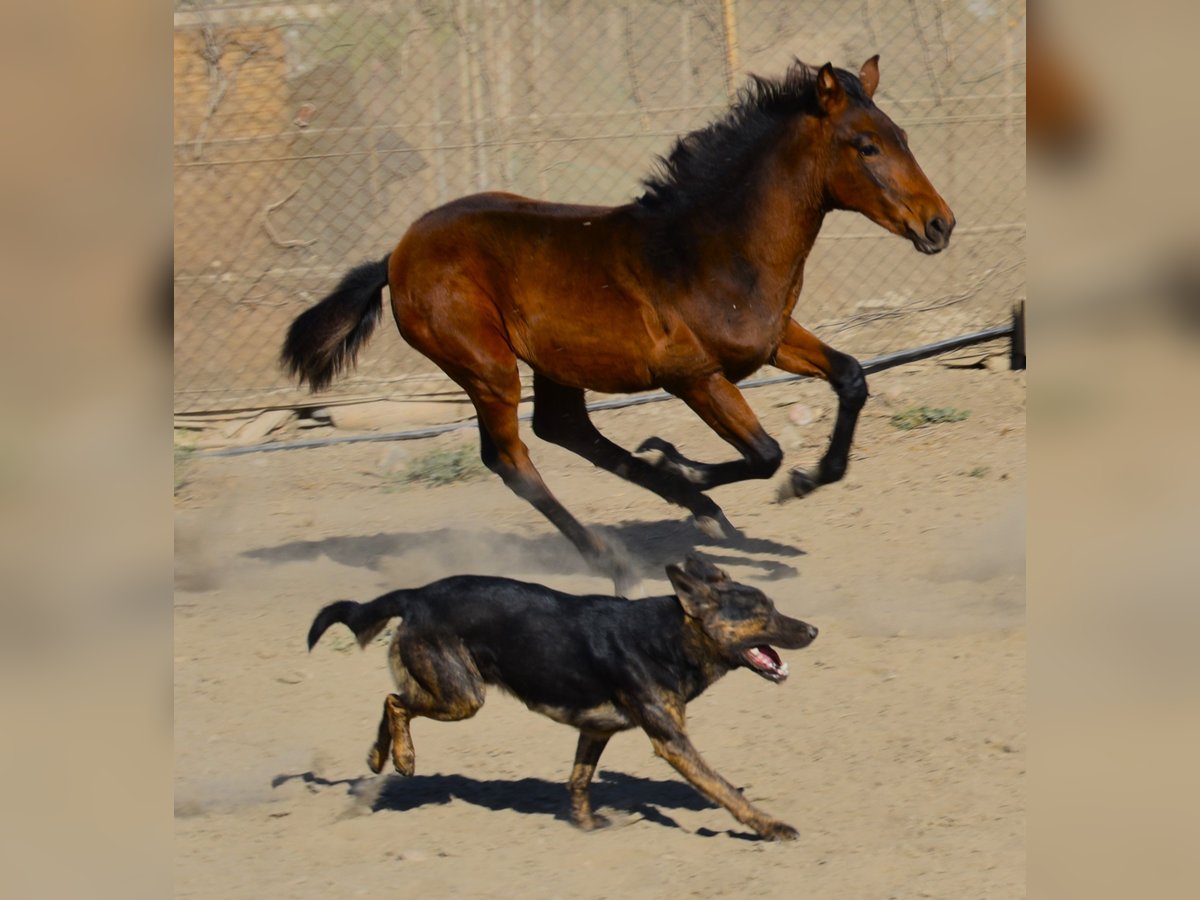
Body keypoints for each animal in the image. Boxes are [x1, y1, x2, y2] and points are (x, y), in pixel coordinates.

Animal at [280, 56, 955, 592]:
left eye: (901, 135)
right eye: (866, 145)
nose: (940, 224)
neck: (713, 250)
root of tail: (395, 257)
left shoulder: (772, 342)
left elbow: (852, 377)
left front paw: (803, 479)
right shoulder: (693, 376)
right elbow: (764, 453)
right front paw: (690, 464)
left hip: (554, 364)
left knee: (564, 430)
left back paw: (691, 507)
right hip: (486, 366)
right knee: (512, 458)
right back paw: (617, 557)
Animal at [304, 554, 820, 844]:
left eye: (774, 606)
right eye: (762, 613)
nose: (814, 630)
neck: (669, 636)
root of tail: (417, 595)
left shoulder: (595, 730)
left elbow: (578, 781)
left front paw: (587, 826)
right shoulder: (671, 742)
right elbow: (722, 788)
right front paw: (770, 826)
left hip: (449, 687)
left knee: (391, 698)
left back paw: (378, 757)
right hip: (464, 695)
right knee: (395, 702)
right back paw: (404, 758)